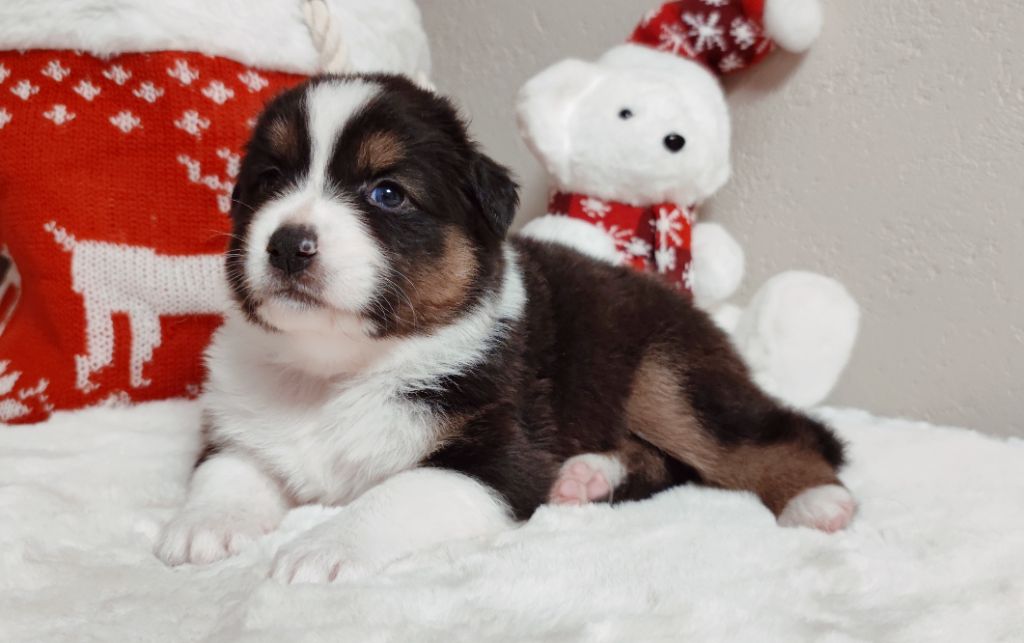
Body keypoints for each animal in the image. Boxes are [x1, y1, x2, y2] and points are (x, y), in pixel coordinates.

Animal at [155, 75, 855, 583]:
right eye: (269, 180)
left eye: (387, 193)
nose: (286, 245)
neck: (336, 369)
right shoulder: (242, 419)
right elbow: (226, 467)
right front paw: (201, 526)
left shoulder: (498, 457)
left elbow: (398, 493)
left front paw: (322, 547)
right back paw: (585, 476)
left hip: (668, 375)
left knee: (774, 435)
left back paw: (817, 501)